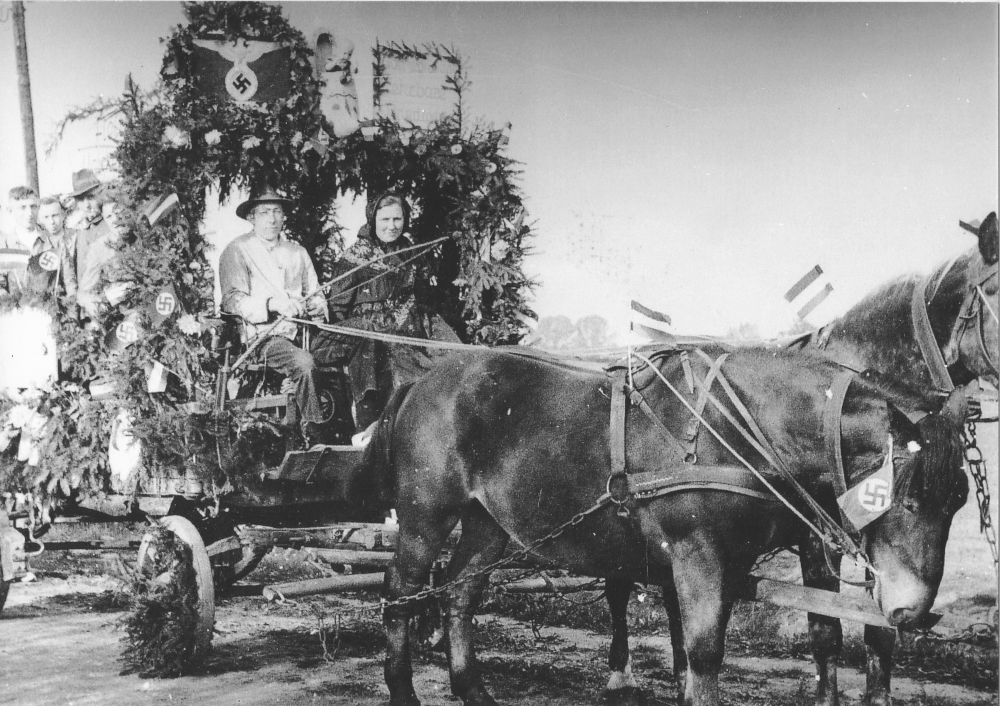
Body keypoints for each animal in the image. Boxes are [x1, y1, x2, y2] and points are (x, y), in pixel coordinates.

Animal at [368, 346, 968, 704]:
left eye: (959, 500)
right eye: (907, 498)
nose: (913, 612)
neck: (736, 424)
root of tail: (421, 383)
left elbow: (812, 632)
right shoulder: (696, 553)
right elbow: (702, 651)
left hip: (487, 524)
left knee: (460, 594)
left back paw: (473, 690)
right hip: (425, 518)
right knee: (400, 591)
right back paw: (402, 689)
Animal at [600, 209, 1000, 704]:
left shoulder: (881, 544)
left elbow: (879, 630)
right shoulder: (819, 541)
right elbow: (825, 629)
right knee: (618, 586)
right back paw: (620, 671)